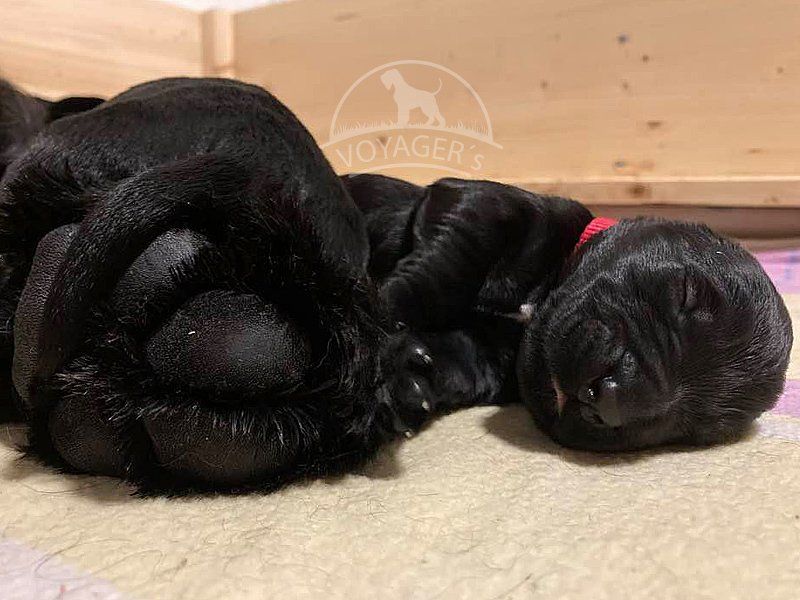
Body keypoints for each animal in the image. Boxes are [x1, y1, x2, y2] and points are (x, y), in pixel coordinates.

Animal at [344, 174, 793, 450]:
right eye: (684, 293)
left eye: (692, 427)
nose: (610, 398)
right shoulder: (478, 205)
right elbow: (446, 268)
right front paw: (382, 321)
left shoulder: (488, 356)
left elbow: (458, 359)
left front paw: (408, 385)